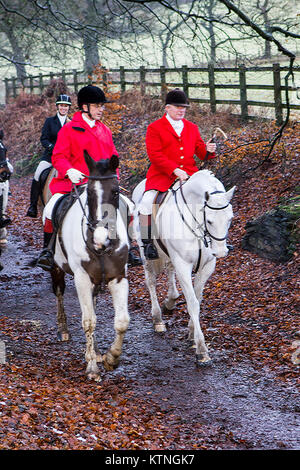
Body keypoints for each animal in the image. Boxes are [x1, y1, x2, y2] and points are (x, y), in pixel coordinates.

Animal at [47, 152, 129, 380]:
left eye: (115, 191)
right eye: (89, 193)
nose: (101, 238)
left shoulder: (118, 277)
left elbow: (122, 321)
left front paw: (111, 358)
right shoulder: (82, 278)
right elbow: (89, 321)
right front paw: (92, 368)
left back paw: (99, 350)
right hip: (58, 268)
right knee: (59, 292)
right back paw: (63, 329)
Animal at [132, 170, 236, 368]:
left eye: (230, 219)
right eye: (209, 220)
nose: (220, 252)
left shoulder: (207, 266)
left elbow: (198, 298)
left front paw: (191, 334)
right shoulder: (183, 264)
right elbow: (193, 303)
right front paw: (202, 350)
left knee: (170, 275)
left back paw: (170, 302)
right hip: (146, 255)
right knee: (151, 282)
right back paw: (158, 319)